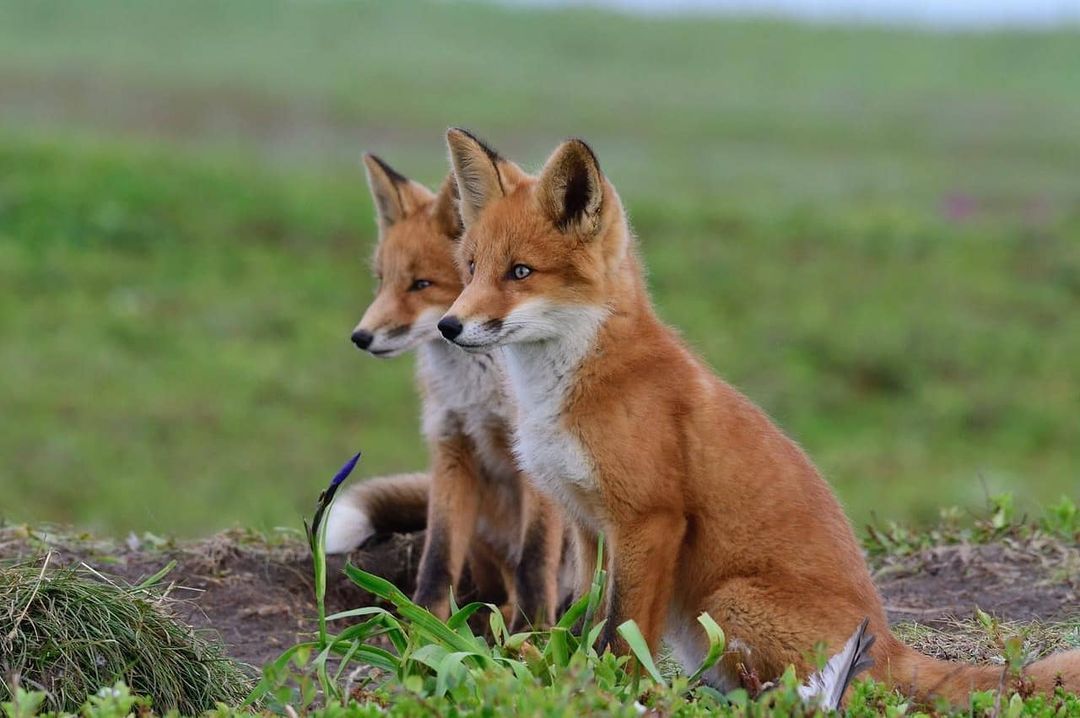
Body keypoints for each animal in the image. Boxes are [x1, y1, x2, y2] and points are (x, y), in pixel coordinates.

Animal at [434, 129, 1075, 699]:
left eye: (520, 272)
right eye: (471, 268)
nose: (448, 325)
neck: (574, 387)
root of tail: (890, 640)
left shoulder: (649, 519)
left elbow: (624, 631)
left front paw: (615, 689)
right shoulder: (588, 523)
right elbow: (590, 621)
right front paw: (578, 673)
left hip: (728, 601)